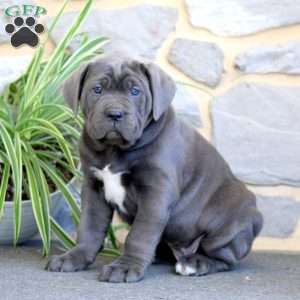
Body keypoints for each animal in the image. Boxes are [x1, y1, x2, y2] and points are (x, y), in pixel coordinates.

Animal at [45, 55, 264, 282]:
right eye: (97, 89)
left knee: (225, 259)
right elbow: (89, 226)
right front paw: (74, 257)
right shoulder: (94, 189)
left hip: (227, 226)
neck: (114, 150)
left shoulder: (156, 193)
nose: (115, 113)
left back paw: (195, 263)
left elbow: (139, 235)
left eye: (135, 91)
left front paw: (125, 267)